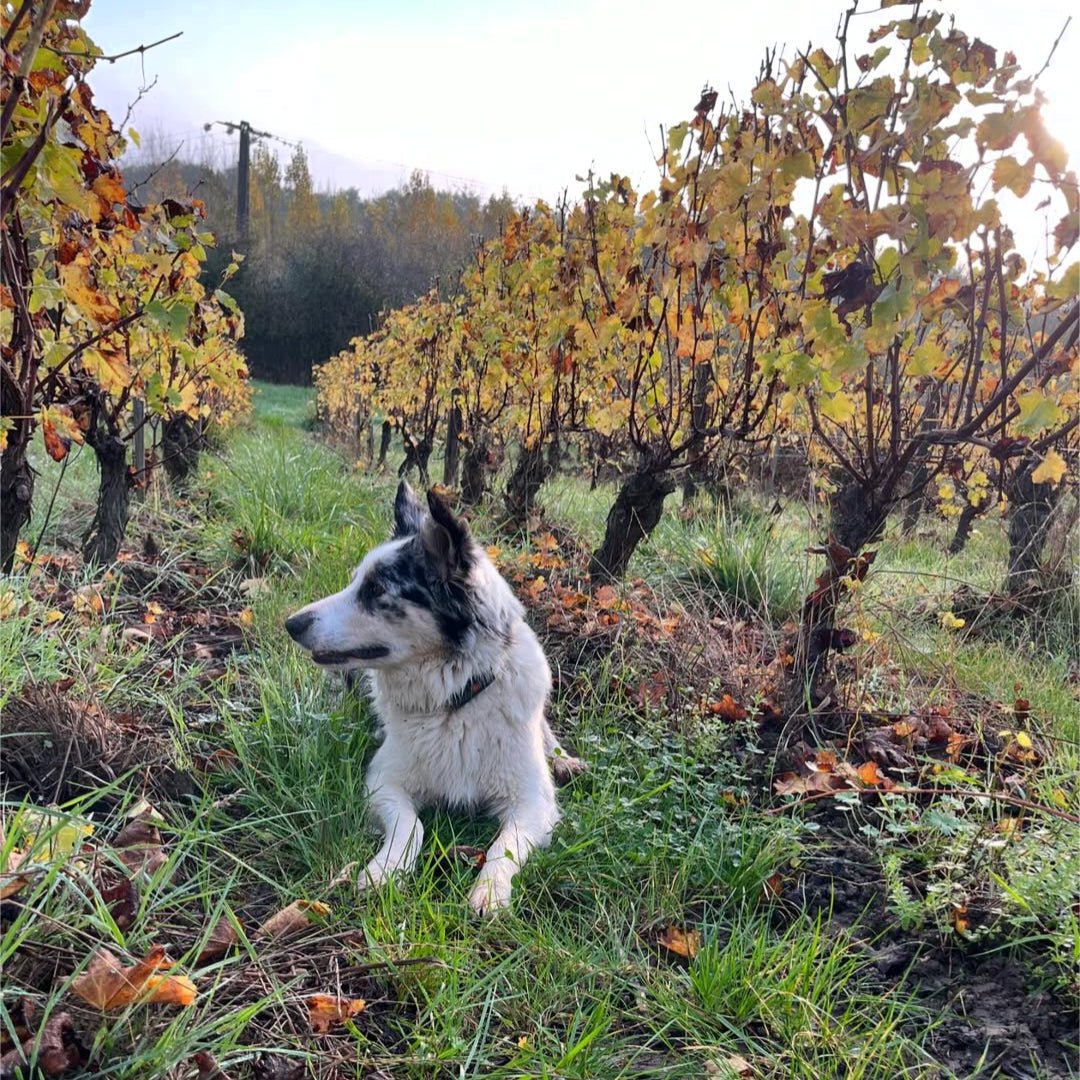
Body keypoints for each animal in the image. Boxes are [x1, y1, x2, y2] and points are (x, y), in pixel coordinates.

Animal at [282, 486, 578, 915]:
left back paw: (564, 759)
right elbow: (412, 825)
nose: (291, 624)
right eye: (356, 583)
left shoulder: (533, 803)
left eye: (375, 590)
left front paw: (491, 891)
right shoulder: (383, 782)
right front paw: (385, 871)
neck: (455, 701)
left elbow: (504, 846)